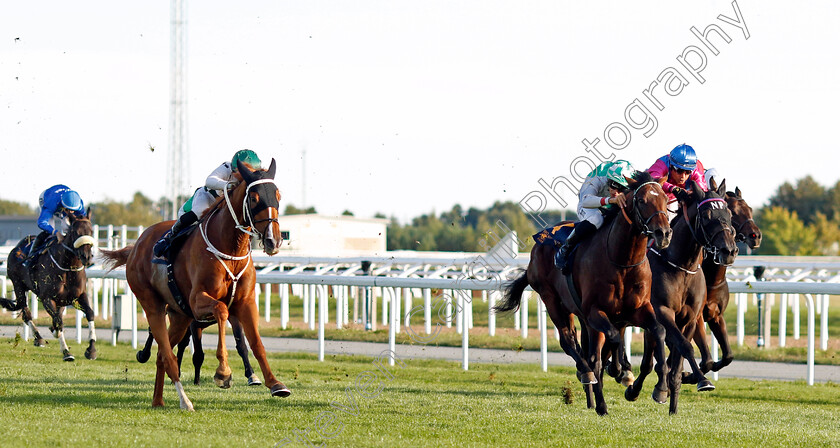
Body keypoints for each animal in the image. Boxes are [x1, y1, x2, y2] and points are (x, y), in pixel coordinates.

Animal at [0, 212, 97, 362]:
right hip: (18, 286)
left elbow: (90, 313)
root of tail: (16, 248)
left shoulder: (79, 296)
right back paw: (39, 338)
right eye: (75, 232)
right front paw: (66, 352)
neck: (67, 267)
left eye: (91, 231)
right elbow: (58, 322)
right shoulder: (47, 298)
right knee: (26, 314)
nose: (86, 257)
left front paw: (91, 350)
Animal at [100, 160, 290, 410]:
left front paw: (275, 383)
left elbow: (256, 343)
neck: (230, 249)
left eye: (278, 195)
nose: (273, 240)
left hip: (180, 316)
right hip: (153, 306)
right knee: (168, 356)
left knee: (162, 355)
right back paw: (185, 401)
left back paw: (158, 400)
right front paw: (223, 373)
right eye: (253, 198)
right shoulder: (198, 300)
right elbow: (221, 309)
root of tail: (136, 245)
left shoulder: (246, 302)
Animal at [496, 172, 672, 416]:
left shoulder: (638, 309)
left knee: (587, 349)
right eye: (641, 200)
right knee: (569, 341)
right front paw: (620, 371)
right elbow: (612, 340)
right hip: (553, 301)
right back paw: (589, 379)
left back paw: (594, 396)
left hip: (578, 313)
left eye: (665, 198)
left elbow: (659, 330)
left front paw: (660, 389)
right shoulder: (596, 312)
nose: (663, 233)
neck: (622, 261)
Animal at [628, 177, 740, 414]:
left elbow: (680, 355)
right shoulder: (662, 312)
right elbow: (683, 348)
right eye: (706, 215)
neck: (681, 266)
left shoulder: (691, 318)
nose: (729, 251)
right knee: (648, 360)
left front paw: (676, 399)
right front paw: (698, 381)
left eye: (728, 213)